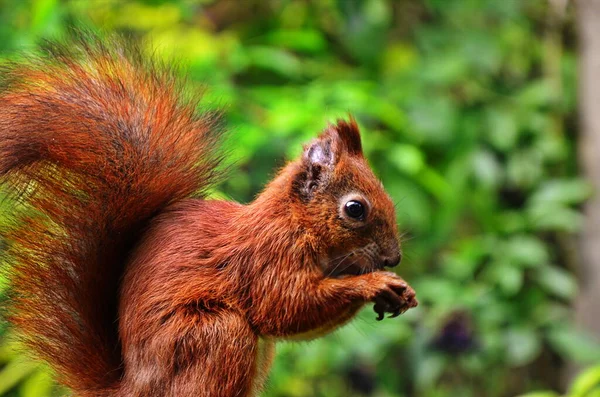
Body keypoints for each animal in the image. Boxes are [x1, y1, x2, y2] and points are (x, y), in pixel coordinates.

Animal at [0, 34, 418, 396]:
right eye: (355, 209)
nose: (393, 257)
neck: (296, 222)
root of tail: (132, 387)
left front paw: (400, 291)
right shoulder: (266, 257)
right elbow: (284, 308)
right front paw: (376, 283)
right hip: (215, 335)